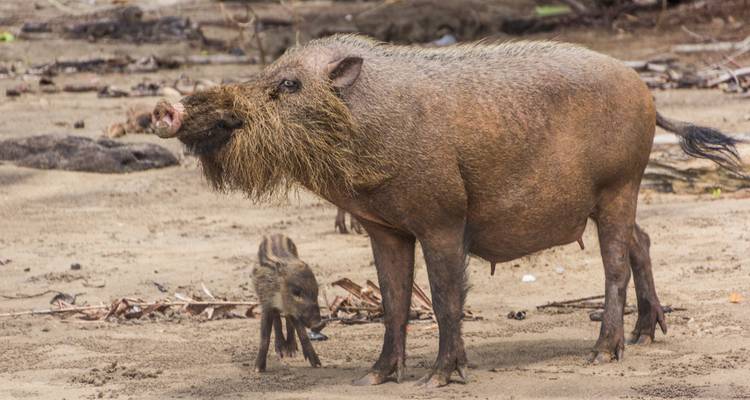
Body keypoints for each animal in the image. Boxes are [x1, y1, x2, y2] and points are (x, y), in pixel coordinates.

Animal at [253, 234, 324, 372]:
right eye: (296, 291)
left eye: (316, 291)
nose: (318, 324)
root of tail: (275, 234)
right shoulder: (267, 303)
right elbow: (264, 337)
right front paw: (258, 369)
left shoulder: (294, 311)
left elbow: (302, 333)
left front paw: (317, 364)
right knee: (278, 319)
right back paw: (281, 349)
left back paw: (290, 350)